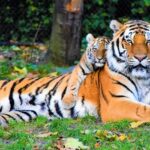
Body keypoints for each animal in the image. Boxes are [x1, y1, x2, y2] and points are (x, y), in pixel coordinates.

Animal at [0, 19, 150, 126]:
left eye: (148, 41)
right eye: (129, 40)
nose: (140, 57)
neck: (143, 79)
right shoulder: (115, 101)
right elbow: (144, 110)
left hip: (24, 113)